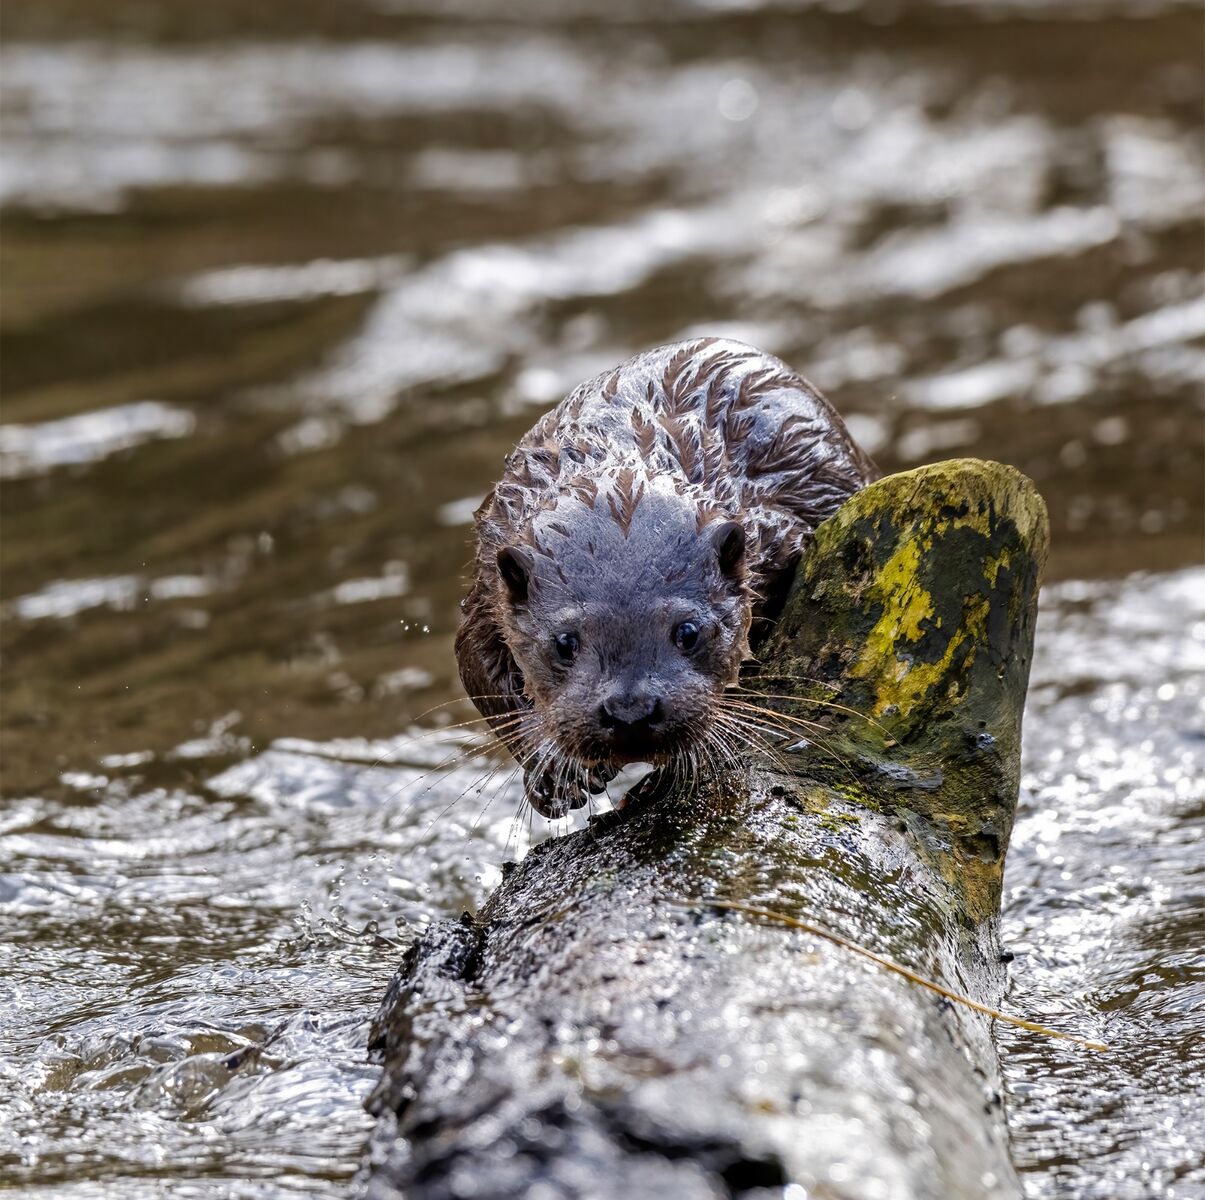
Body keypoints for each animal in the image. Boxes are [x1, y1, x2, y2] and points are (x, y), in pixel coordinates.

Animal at [455, 338, 878, 817]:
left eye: (688, 632)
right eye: (564, 642)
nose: (630, 711)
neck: (620, 473)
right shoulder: (488, 575)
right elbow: (478, 668)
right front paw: (554, 773)